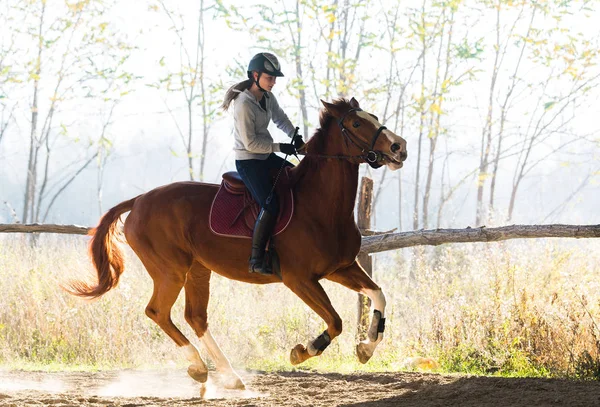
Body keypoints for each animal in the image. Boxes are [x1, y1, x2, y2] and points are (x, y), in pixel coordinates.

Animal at [69, 97, 408, 390]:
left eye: (373, 117)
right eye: (355, 123)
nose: (399, 147)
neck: (320, 204)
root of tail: (139, 200)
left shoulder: (341, 268)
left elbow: (378, 294)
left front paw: (366, 347)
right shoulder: (299, 279)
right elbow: (335, 322)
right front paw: (302, 351)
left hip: (197, 270)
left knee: (195, 317)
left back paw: (230, 377)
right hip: (170, 271)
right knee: (158, 312)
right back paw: (199, 367)